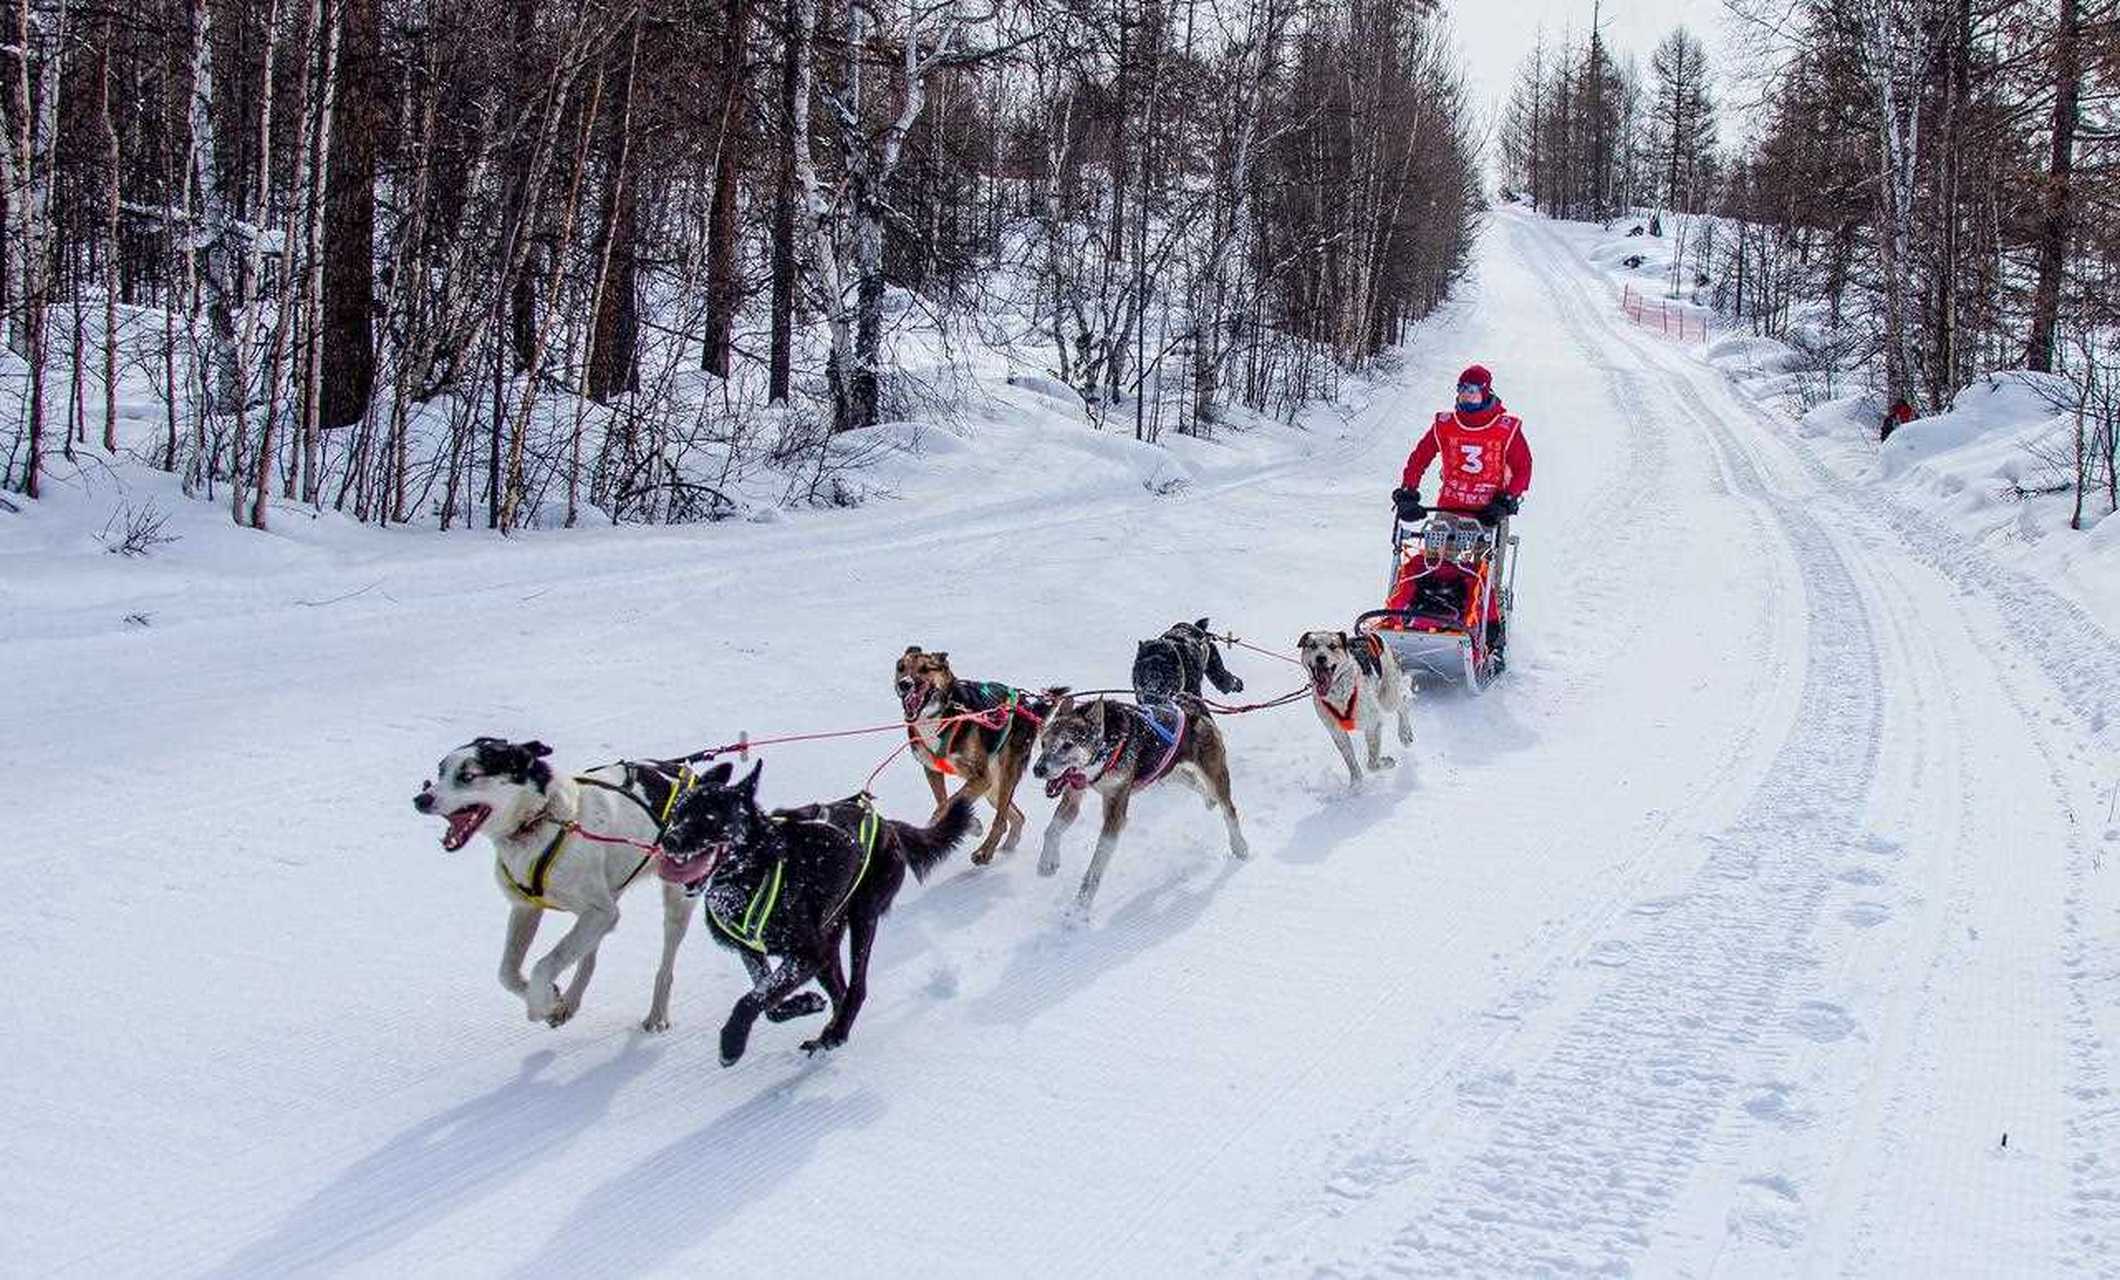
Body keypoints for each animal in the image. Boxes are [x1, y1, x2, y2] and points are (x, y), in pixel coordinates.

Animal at [657, 762, 970, 1063]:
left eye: (709, 817)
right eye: (676, 814)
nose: (669, 841)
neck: (753, 872)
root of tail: (886, 825)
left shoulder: (807, 954)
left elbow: (751, 1000)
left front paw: (732, 1042)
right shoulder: (752, 951)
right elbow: (767, 1001)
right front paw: (806, 1002)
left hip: (862, 918)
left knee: (857, 988)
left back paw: (836, 1033)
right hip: (829, 945)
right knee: (840, 991)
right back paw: (829, 1033)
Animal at [890, 644, 1047, 864]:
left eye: (925, 669)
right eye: (901, 667)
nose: (904, 684)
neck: (938, 717)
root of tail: (1027, 705)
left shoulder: (981, 778)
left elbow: (951, 802)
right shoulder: (933, 771)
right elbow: (944, 802)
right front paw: (968, 823)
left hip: (1004, 773)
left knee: (1000, 820)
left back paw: (985, 852)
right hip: (992, 787)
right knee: (1016, 816)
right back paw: (1007, 846)